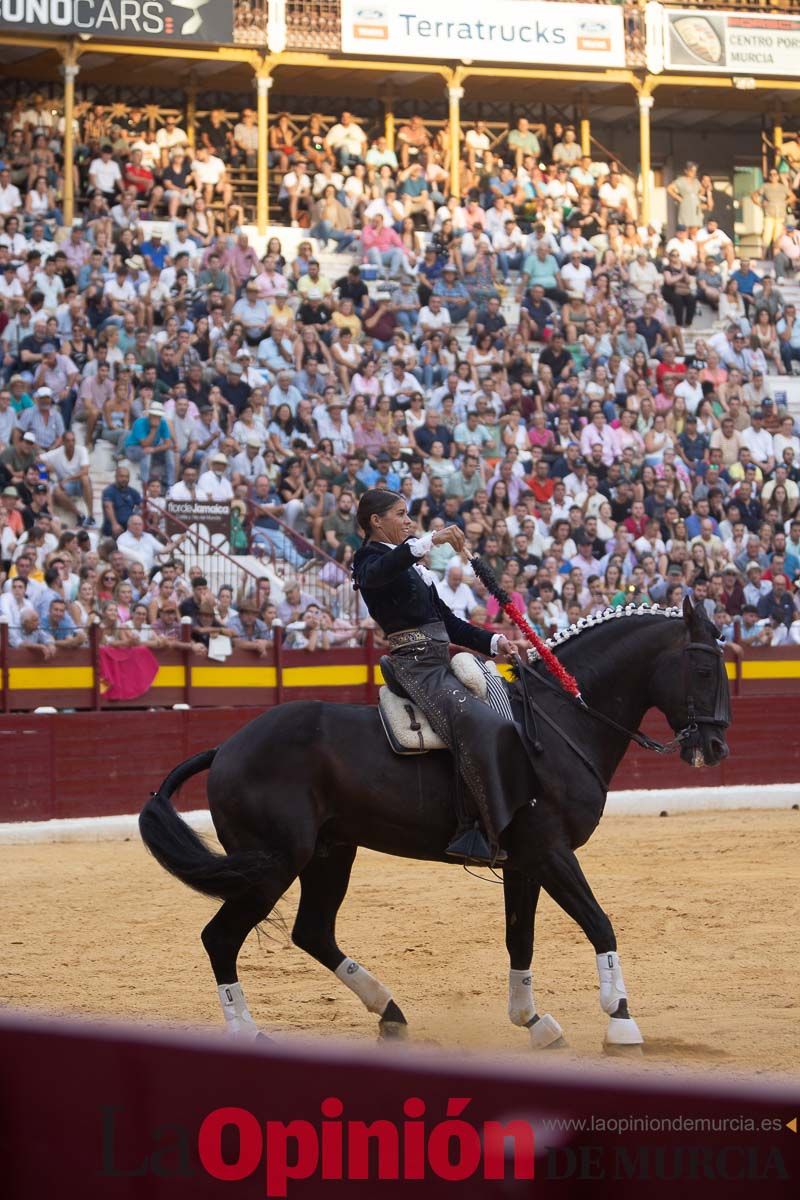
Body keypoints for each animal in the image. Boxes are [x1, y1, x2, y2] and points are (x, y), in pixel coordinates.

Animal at [140, 600, 729, 1051]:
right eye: (704, 670)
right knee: (221, 938)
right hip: (274, 863)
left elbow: (520, 939)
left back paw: (390, 1012)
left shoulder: (523, 863)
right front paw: (621, 1019)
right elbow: (599, 922)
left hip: (330, 853)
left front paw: (534, 1022)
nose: (717, 747)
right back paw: (250, 1032)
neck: (559, 721)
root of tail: (226, 747)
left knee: (312, 930)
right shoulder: (551, 852)